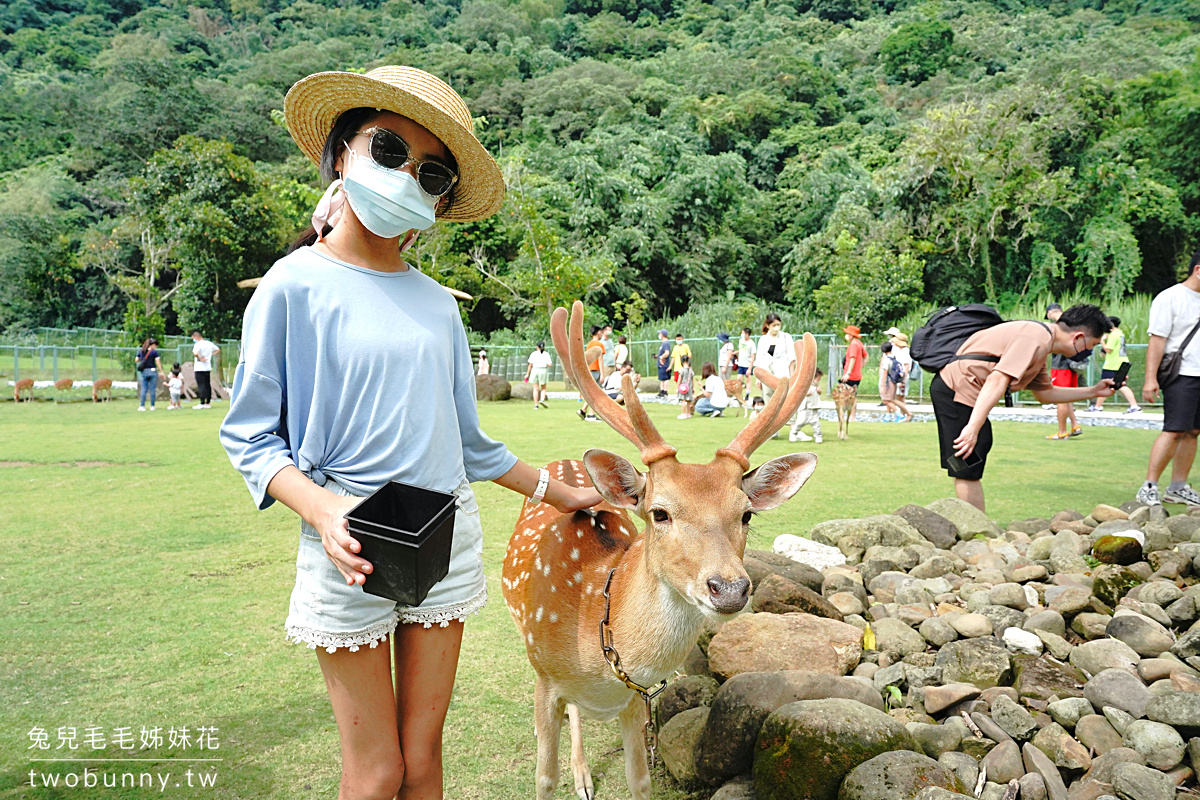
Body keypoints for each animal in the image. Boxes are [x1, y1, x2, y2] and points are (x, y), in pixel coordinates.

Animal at [501, 302, 820, 800]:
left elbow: (640, 778)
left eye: (746, 514)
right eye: (659, 512)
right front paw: (564, 773)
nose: (729, 588)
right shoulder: (546, 678)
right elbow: (544, 778)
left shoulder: (638, 698)